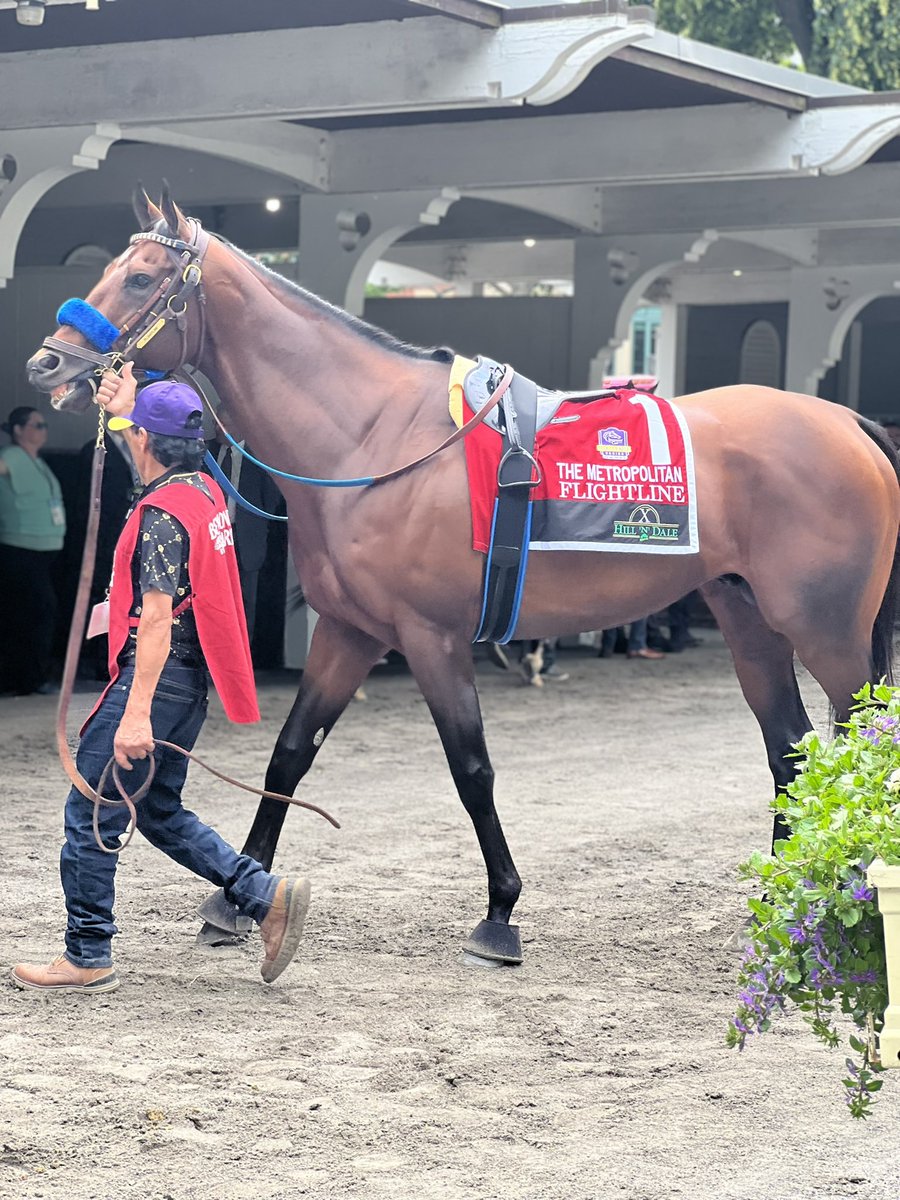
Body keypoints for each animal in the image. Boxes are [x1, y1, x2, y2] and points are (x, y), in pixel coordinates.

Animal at [27, 187, 900, 965]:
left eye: (140, 277)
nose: (46, 362)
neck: (373, 436)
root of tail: (847, 421)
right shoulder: (350, 631)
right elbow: (290, 756)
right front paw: (232, 904)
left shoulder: (432, 637)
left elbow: (471, 768)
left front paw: (500, 913)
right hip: (750, 620)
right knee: (793, 756)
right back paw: (788, 897)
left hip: (828, 634)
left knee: (858, 749)